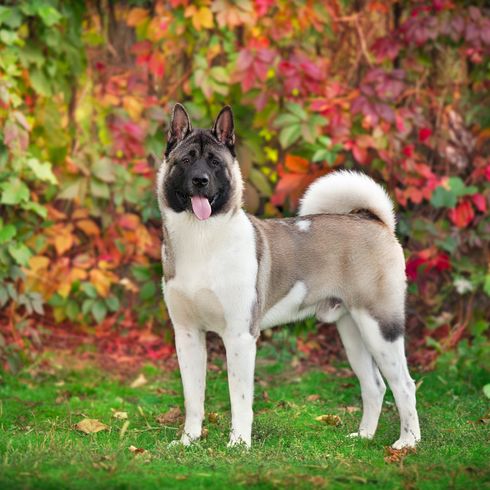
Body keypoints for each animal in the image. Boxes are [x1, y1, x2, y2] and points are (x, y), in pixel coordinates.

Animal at [158, 105, 422, 450]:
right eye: (186, 160)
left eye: (215, 162)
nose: (200, 181)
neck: (202, 239)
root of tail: (374, 220)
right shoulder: (188, 335)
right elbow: (193, 397)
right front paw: (188, 440)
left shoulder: (240, 336)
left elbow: (239, 398)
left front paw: (238, 445)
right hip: (352, 329)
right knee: (374, 385)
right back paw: (364, 435)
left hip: (380, 326)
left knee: (404, 384)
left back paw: (408, 442)